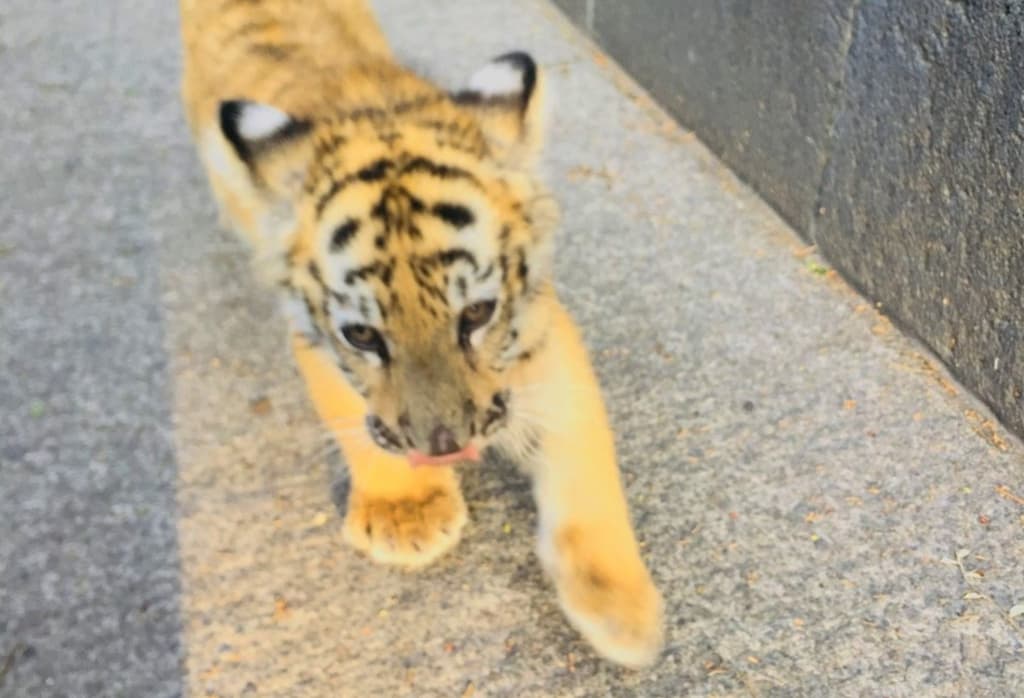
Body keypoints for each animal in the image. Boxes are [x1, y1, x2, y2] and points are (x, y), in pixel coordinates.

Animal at [179, 0, 663, 667]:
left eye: (477, 315)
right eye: (363, 335)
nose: (445, 446)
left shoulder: (537, 326)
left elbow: (581, 451)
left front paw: (622, 609)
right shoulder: (315, 338)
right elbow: (356, 418)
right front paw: (406, 514)